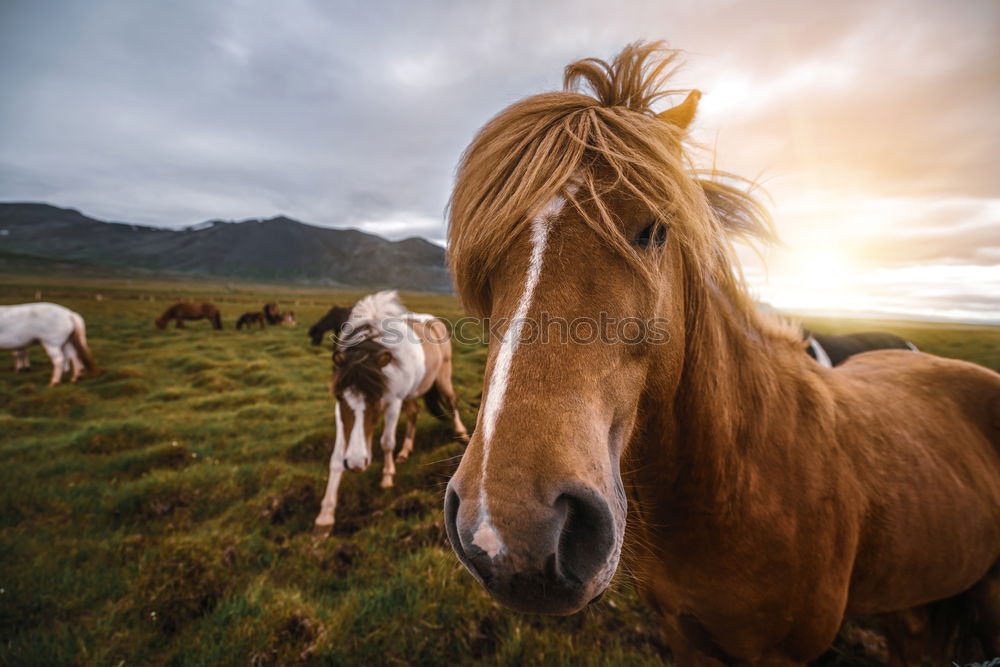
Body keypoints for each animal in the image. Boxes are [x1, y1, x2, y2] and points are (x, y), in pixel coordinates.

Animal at [312, 290, 468, 536]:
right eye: (339, 398)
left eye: (376, 398)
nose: (356, 464)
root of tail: (434, 321)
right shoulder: (340, 412)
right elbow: (336, 457)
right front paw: (325, 516)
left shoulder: (393, 402)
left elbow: (386, 442)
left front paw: (387, 476)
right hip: (414, 391)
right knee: (413, 413)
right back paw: (405, 450)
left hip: (443, 376)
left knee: (451, 403)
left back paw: (461, 433)